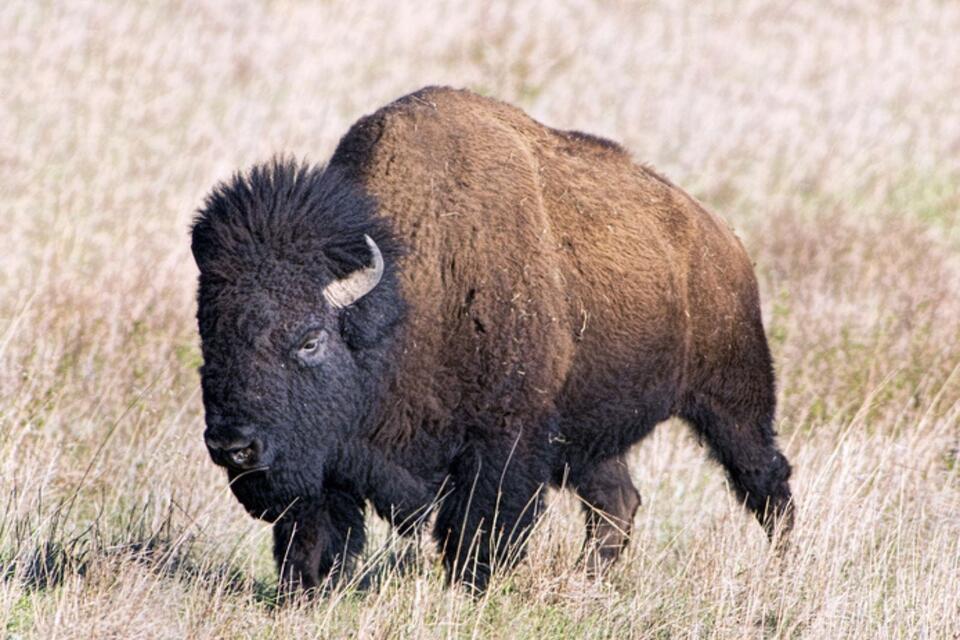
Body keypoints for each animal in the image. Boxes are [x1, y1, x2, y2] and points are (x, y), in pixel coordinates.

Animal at [191, 86, 794, 593]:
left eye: (310, 339)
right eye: (210, 335)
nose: (233, 445)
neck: (405, 296)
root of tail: (722, 238)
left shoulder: (503, 439)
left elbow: (476, 528)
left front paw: (470, 589)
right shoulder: (330, 458)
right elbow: (315, 530)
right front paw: (306, 589)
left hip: (733, 399)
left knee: (765, 480)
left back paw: (784, 564)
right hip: (586, 432)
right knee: (617, 502)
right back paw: (587, 581)